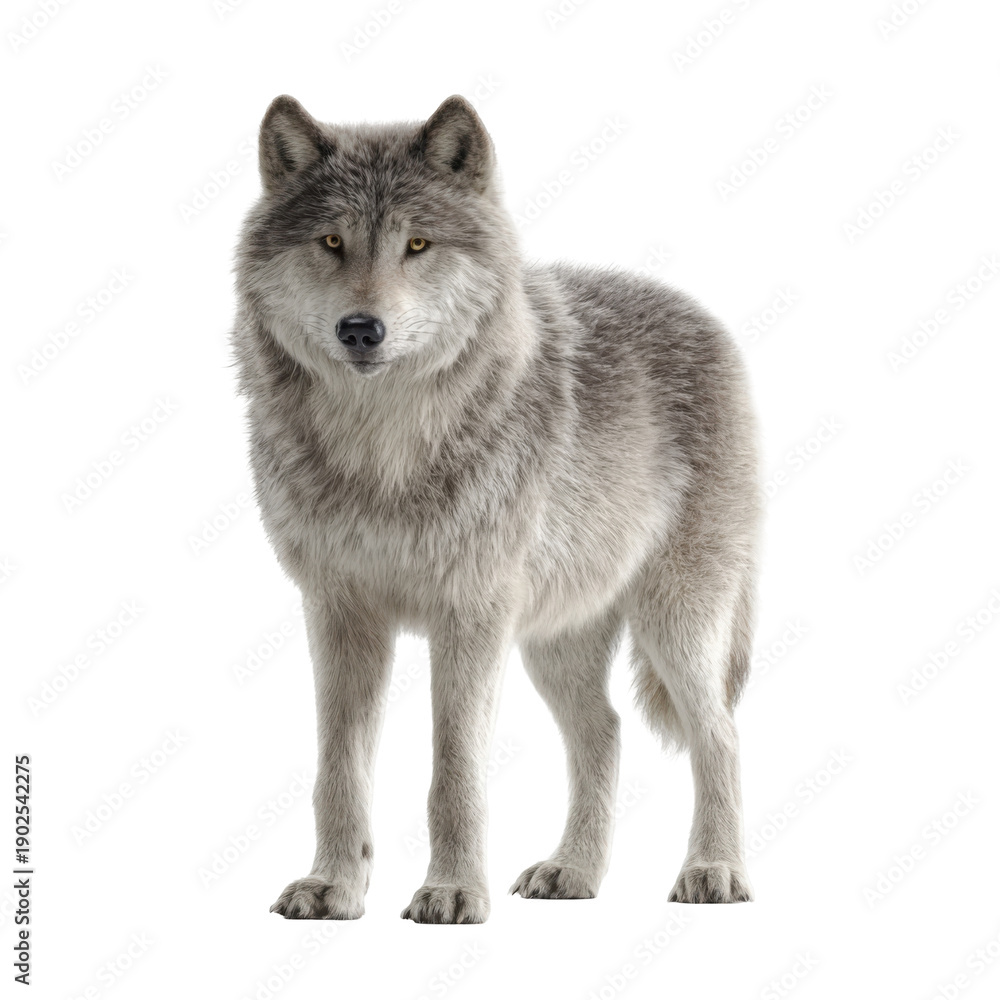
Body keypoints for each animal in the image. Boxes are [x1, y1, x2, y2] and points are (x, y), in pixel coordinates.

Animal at [231, 94, 761, 923]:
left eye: (417, 244)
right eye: (331, 242)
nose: (361, 329)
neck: (382, 454)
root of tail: (708, 319)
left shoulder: (469, 615)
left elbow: (454, 772)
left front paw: (451, 891)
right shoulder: (339, 612)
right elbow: (337, 771)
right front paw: (334, 887)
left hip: (675, 621)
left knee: (721, 736)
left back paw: (714, 871)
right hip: (556, 639)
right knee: (605, 732)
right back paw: (573, 872)